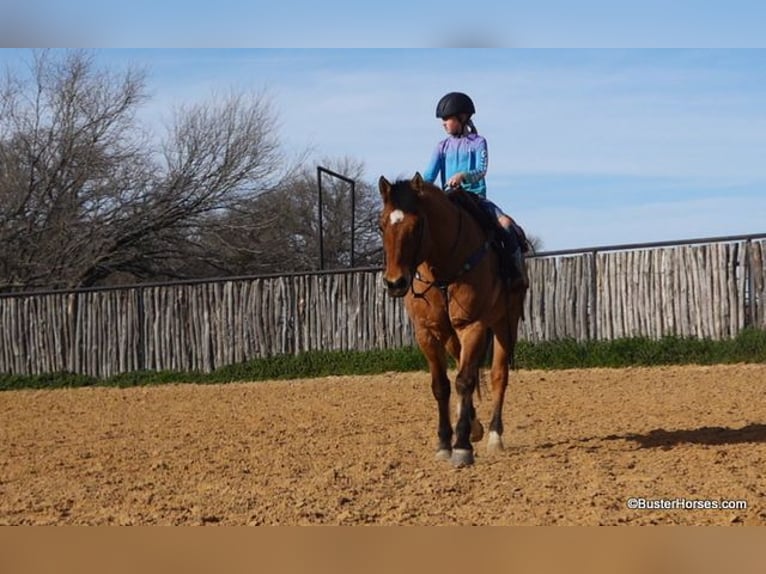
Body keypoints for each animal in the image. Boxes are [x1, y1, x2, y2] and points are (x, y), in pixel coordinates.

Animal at [378, 172, 528, 468]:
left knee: (498, 375)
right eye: (380, 225)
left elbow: (465, 381)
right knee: (461, 364)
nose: (395, 283)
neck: (443, 269)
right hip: (451, 336)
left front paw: (461, 447)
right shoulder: (428, 332)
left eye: (417, 225)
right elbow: (442, 386)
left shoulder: (473, 326)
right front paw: (445, 443)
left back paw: (494, 435)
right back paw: (474, 425)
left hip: (506, 322)